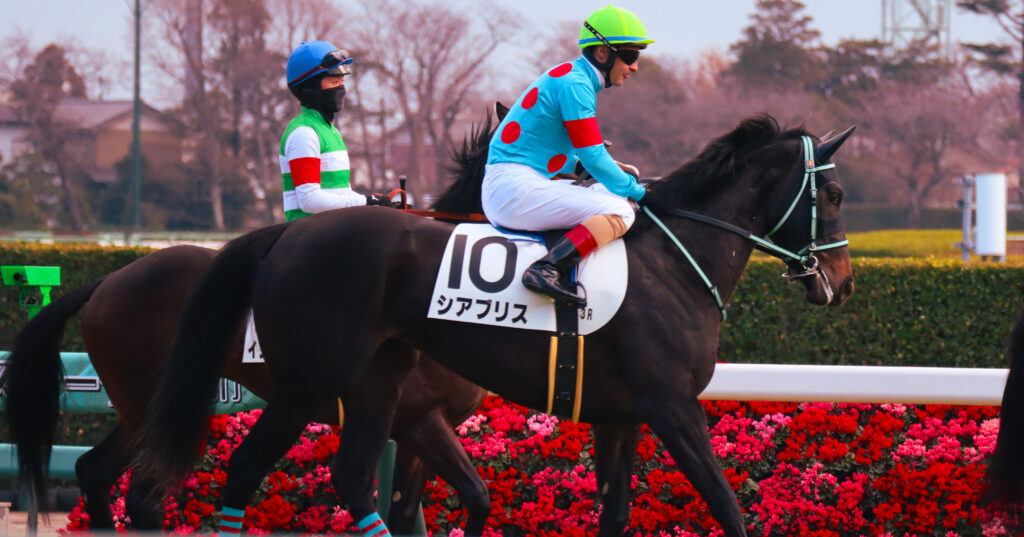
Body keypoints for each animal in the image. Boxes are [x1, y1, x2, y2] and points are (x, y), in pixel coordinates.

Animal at [0, 113, 503, 534]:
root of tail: (108, 280)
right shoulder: (419, 419)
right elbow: (467, 495)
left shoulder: (420, 431)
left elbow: (445, 502)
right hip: (152, 403)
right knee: (138, 492)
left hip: (140, 409)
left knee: (96, 472)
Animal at [135, 114, 856, 537]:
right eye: (838, 194)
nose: (843, 282)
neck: (672, 264)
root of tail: (283, 237)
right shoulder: (670, 405)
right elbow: (729, 509)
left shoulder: (620, 415)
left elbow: (616, 513)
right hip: (310, 381)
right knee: (243, 470)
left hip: (376, 382)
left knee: (351, 478)